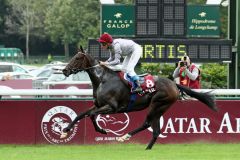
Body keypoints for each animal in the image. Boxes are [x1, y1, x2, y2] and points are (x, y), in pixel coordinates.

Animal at [60, 49, 218, 149]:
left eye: (77, 58)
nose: (65, 70)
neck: (103, 80)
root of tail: (174, 84)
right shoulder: (98, 105)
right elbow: (82, 114)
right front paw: (65, 130)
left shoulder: (112, 107)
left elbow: (92, 115)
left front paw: (102, 131)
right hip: (160, 108)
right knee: (155, 130)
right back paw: (147, 149)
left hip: (157, 104)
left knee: (147, 123)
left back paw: (125, 136)